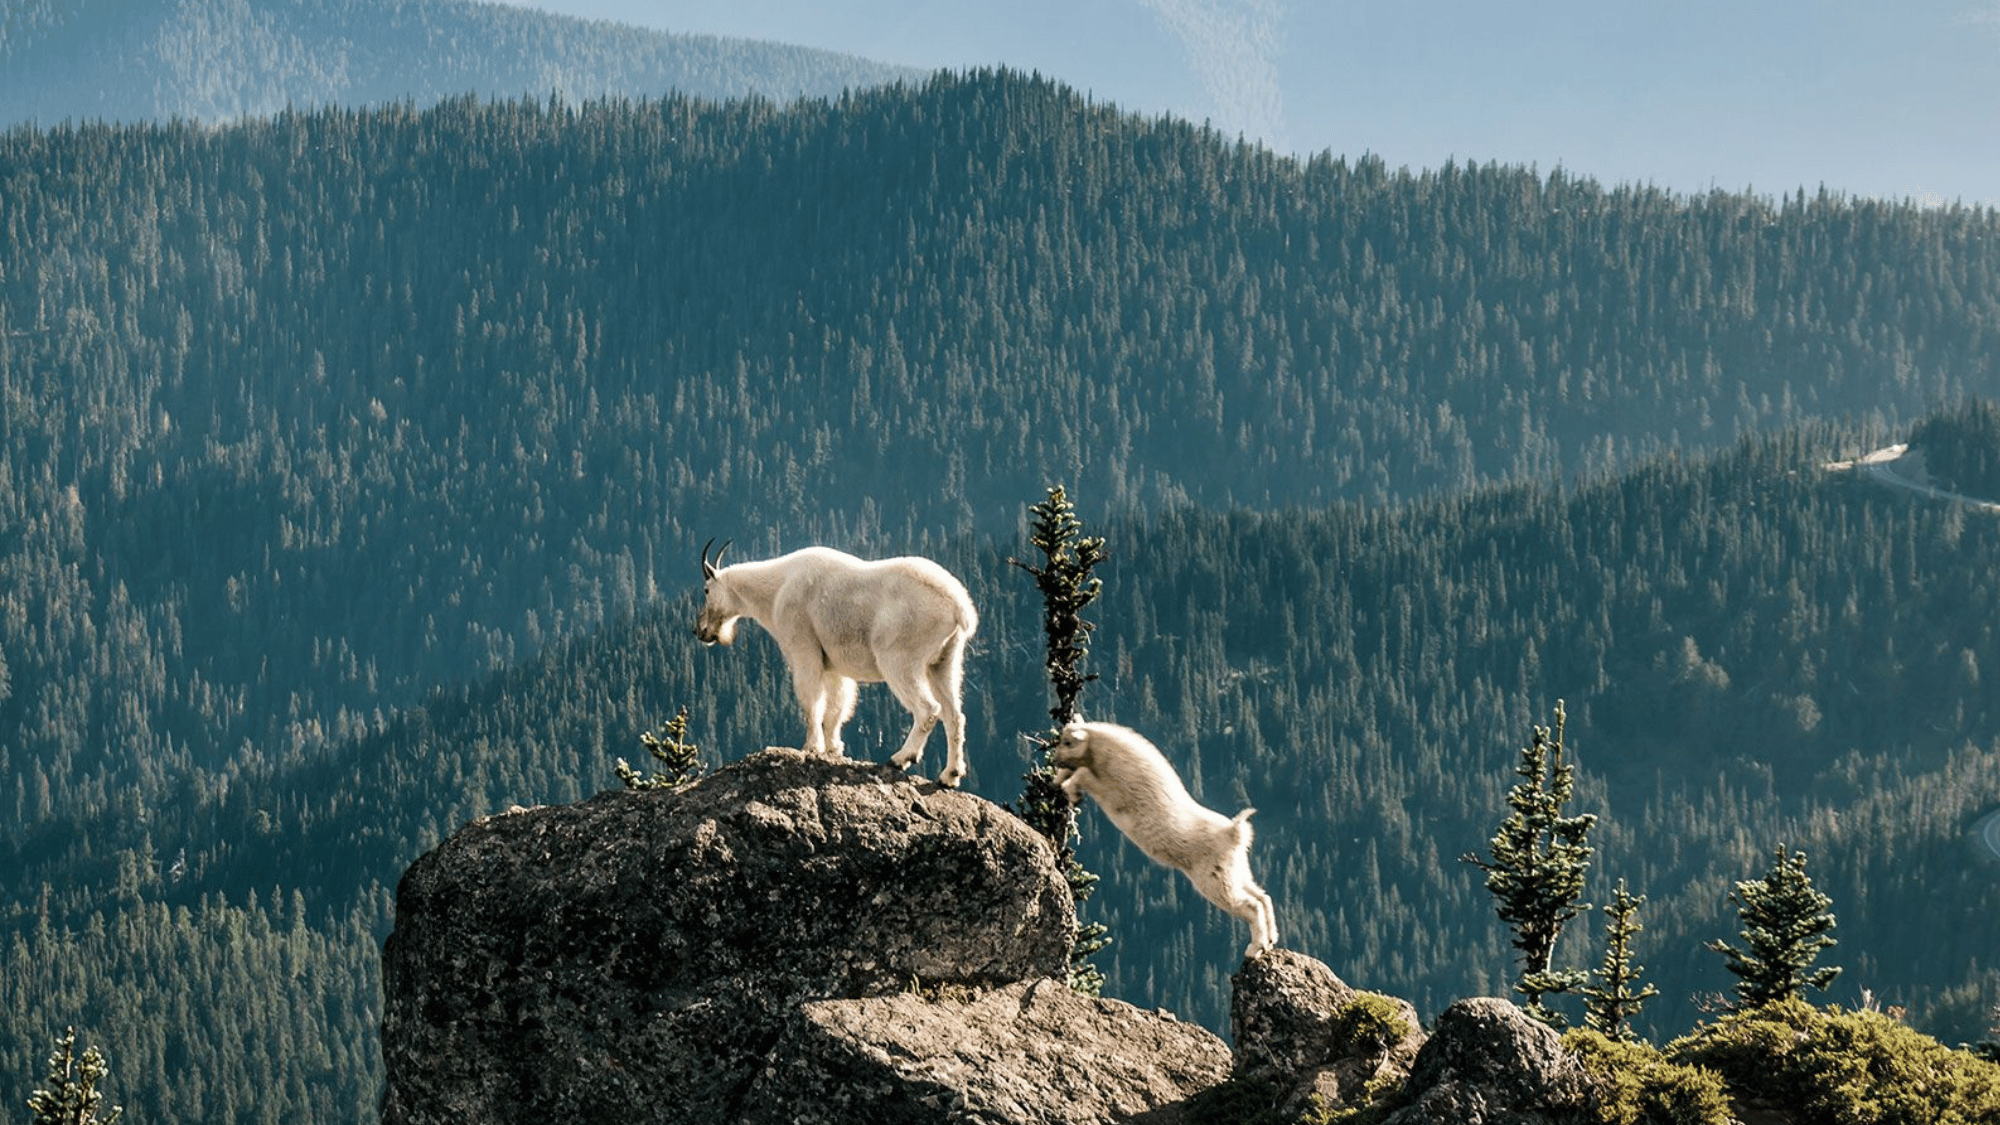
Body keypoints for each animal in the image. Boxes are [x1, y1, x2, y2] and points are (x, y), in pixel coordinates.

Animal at [694, 540, 979, 786]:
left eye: (706, 590)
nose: (700, 631)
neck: (775, 590)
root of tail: (959, 608)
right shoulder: (835, 666)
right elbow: (836, 708)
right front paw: (833, 749)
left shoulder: (803, 649)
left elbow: (811, 701)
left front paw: (811, 747)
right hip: (945, 660)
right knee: (955, 715)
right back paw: (950, 775)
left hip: (899, 657)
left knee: (928, 709)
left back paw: (900, 759)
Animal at [1052, 721, 1278, 957]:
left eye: (1068, 742)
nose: (1055, 760)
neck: (1108, 755)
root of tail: (1235, 833)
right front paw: (1058, 782)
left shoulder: (1112, 792)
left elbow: (1083, 775)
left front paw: (1069, 790)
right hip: (1236, 870)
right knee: (1262, 897)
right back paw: (1271, 939)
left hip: (1214, 878)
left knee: (1250, 904)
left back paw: (1255, 948)